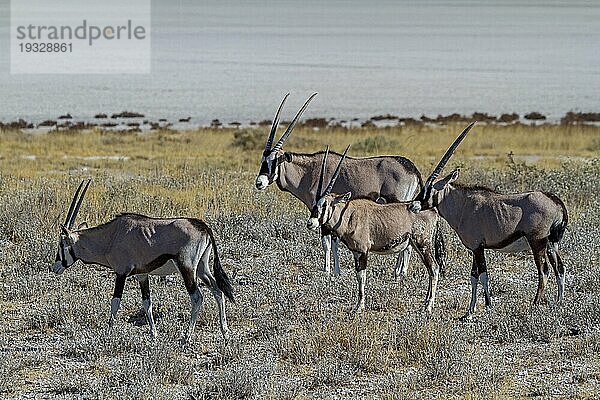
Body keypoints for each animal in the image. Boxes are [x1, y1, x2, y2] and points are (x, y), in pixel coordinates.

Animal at [52, 181, 234, 340]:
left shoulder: (121, 273)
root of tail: (203, 226)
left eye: (61, 243)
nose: (55, 267)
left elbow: (115, 301)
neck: (111, 236)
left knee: (197, 297)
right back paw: (225, 332)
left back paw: (187, 337)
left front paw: (109, 332)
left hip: (187, 268)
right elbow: (147, 303)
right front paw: (154, 334)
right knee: (217, 290)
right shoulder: (142, 275)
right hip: (202, 268)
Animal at [255, 93, 438, 278]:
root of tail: (411, 167)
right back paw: (398, 271)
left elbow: (327, 243)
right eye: (263, 161)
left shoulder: (324, 210)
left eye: (273, 161)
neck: (309, 172)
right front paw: (337, 271)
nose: (259, 182)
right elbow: (335, 242)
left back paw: (401, 272)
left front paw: (327, 271)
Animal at [308, 145, 442, 314]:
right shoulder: (356, 252)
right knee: (431, 268)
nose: (310, 223)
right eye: (314, 204)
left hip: (423, 244)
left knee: (434, 268)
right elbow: (359, 275)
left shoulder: (363, 251)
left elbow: (361, 277)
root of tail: (432, 210)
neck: (349, 214)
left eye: (325, 205)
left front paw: (359, 306)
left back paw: (428, 306)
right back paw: (425, 303)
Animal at [410, 126, 568, 318]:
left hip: (537, 242)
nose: (413, 205)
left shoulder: (478, 248)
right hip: (552, 243)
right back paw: (559, 303)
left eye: (429, 189)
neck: (463, 204)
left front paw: (488, 306)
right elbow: (473, 276)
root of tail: (556, 202)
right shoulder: (475, 248)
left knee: (544, 270)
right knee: (559, 268)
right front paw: (468, 312)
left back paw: (535, 305)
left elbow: (483, 275)